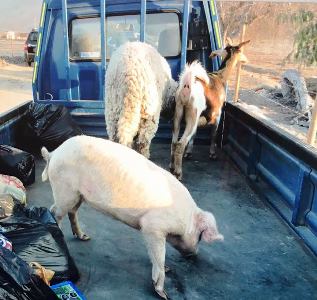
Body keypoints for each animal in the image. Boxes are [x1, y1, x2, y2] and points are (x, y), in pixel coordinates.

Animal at [41, 136, 222, 300]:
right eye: (200, 236)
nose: (194, 255)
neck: (185, 218)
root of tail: (54, 152)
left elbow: (155, 255)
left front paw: (168, 270)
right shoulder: (152, 227)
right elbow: (159, 255)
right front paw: (163, 294)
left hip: (77, 195)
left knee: (72, 212)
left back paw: (85, 237)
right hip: (64, 190)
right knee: (54, 212)